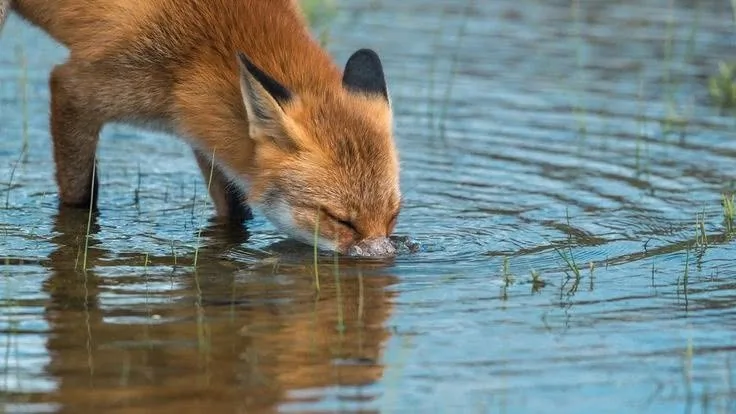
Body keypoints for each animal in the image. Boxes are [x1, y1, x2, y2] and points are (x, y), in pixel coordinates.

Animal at [0, 0, 402, 256]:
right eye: (340, 220)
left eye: (393, 215)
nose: (384, 259)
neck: (199, 52)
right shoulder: (75, 89)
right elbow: (81, 200)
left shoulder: (206, 132)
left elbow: (234, 212)